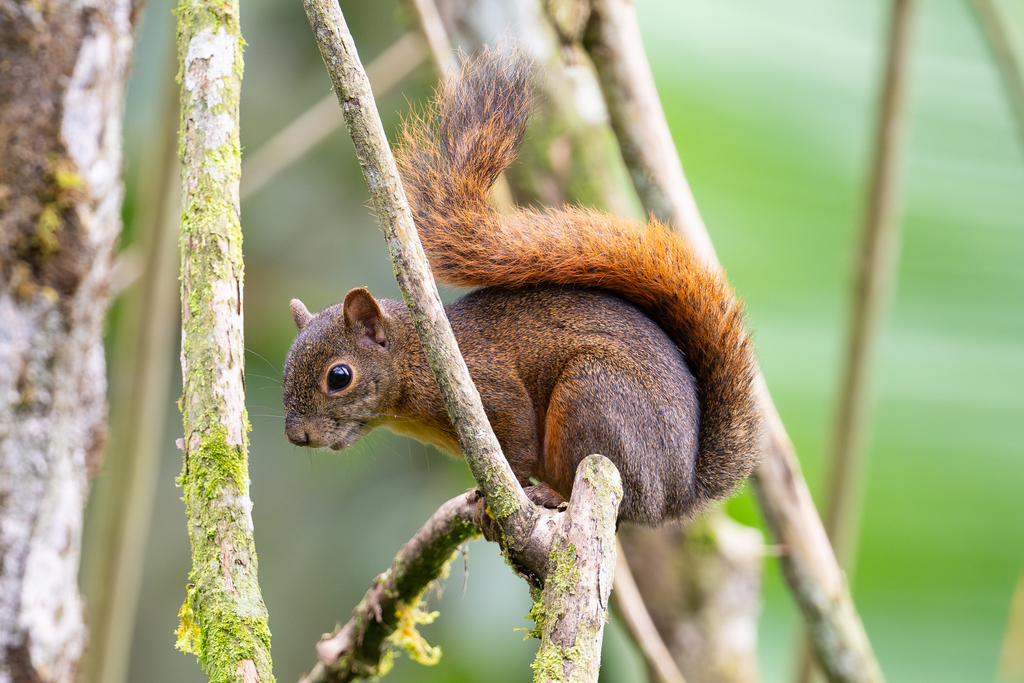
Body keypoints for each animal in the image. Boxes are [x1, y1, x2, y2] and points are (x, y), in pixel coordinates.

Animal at [280, 50, 761, 528]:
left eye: (339, 377)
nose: (297, 435)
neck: (415, 360)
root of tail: (680, 492)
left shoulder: (488, 386)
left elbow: (517, 440)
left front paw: (497, 498)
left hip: (594, 398)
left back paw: (551, 494)